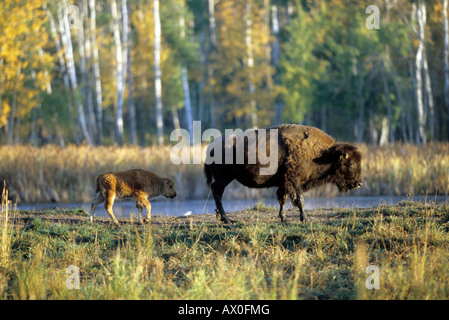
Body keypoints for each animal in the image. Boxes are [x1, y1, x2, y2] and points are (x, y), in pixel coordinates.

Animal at [205, 124, 362, 224]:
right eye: (350, 164)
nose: (359, 183)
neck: (322, 154)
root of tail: (212, 145)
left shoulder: (284, 183)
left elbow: (283, 199)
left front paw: (284, 218)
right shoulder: (295, 181)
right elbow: (299, 200)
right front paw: (305, 219)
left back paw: (221, 216)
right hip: (224, 178)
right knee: (217, 192)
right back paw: (226, 219)